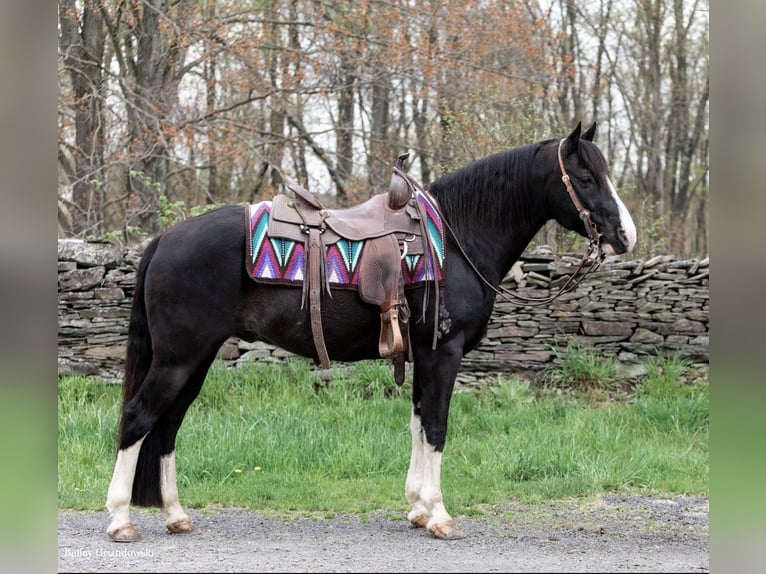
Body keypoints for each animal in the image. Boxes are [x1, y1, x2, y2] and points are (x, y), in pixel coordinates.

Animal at [106, 122, 636, 544]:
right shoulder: (443, 353)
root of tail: (165, 239)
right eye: (585, 177)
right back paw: (120, 521)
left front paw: (418, 508)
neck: (456, 239)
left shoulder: (423, 356)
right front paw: (439, 515)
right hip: (178, 359)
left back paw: (176, 516)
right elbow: (437, 427)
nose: (626, 236)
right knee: (138, 417)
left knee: (167, 427)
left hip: (195, 360)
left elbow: (419, 424)